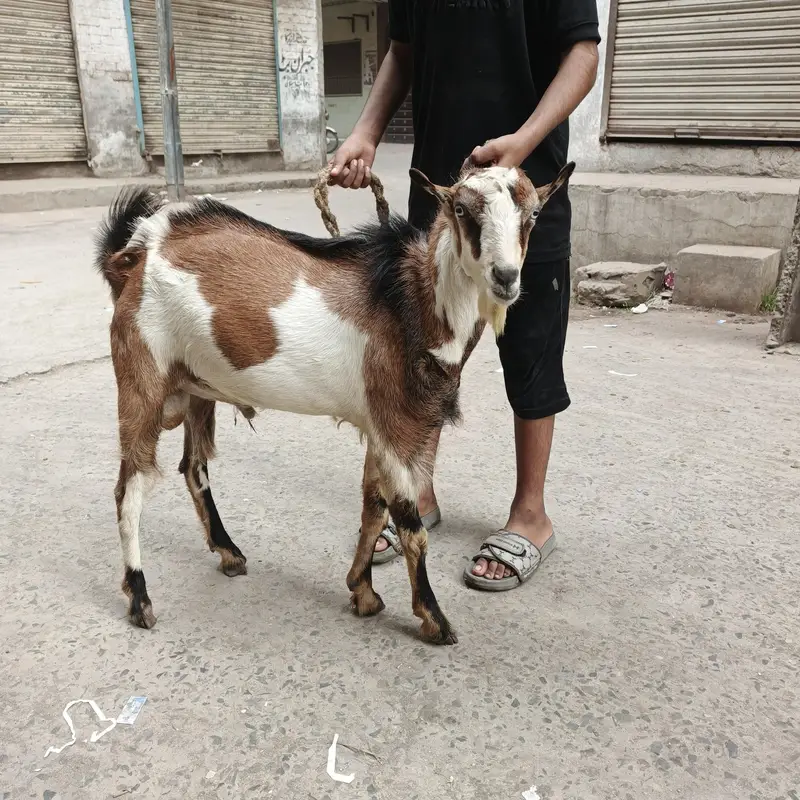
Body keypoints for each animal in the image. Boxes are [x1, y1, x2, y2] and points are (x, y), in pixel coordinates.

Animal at [95, 160, 575, 645]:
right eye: (461, 209)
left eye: (534, 215)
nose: (505, 277)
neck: (413, 302)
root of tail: (136, 255)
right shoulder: (398, 427)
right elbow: (411, 527)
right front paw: (434, 619)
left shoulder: (386, 426)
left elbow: (374, 508)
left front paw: (363, 591)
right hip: (143, 378)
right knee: (128, 489)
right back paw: (140, 599)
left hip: (196, 387)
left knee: (193, 467)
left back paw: (228, 552)